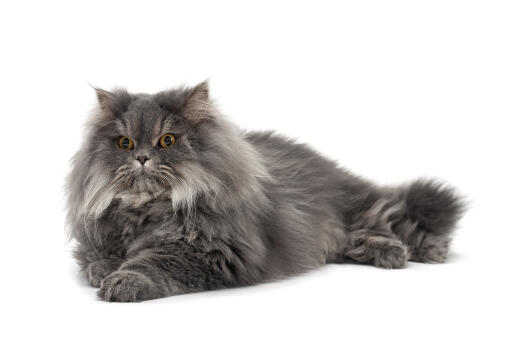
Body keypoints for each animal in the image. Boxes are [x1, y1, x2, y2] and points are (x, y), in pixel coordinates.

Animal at [66, 81, 466, 300]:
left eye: (167, 140)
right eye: (125, 143)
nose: (142, 158)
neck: (148, 212)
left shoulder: (208, 249)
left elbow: (150, 262)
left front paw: (123, 280)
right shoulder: (98, 239)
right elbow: (96, 258)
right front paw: (105, 269)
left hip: (361, 208)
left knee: (399, 217)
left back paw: (427, 251)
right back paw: (387, 253)